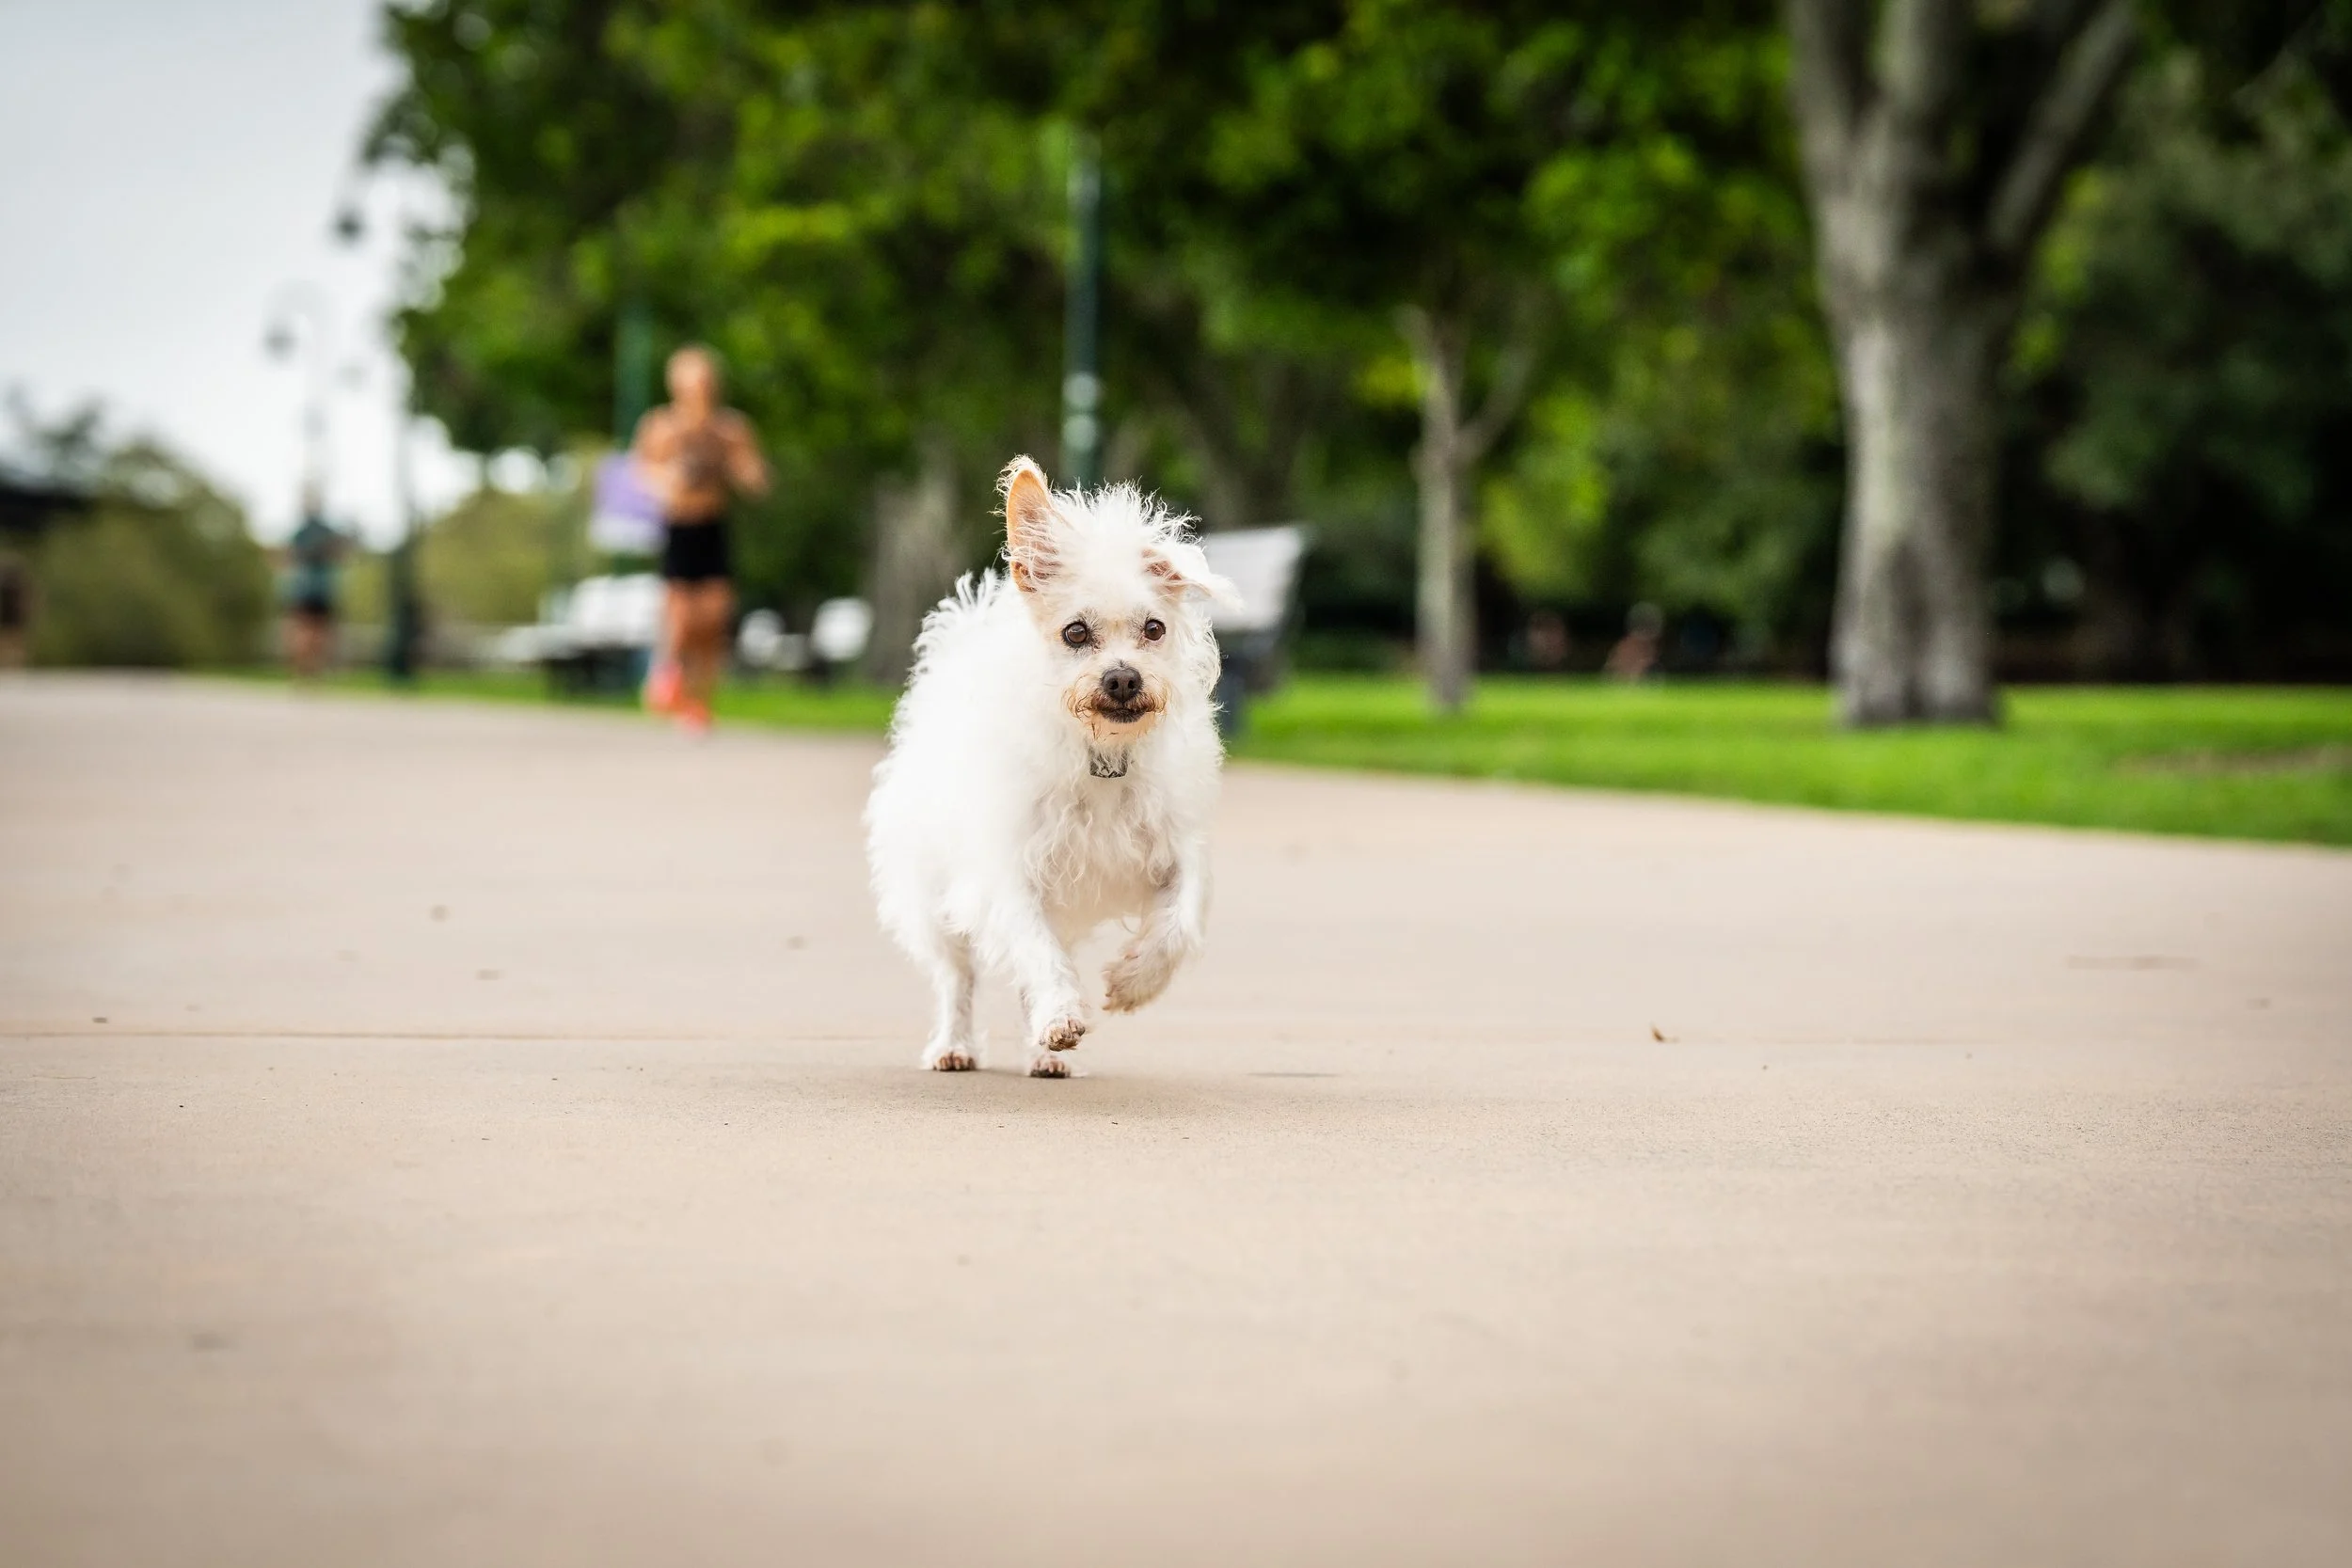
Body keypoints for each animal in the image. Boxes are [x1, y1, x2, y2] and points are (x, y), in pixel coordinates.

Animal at [865, 456, 1234, 1077]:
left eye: (1154, 629)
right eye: (1075, 632)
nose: (1123, 678)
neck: (1102, 756)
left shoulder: (1177, 850)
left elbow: (1179, 924)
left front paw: (1133, 983)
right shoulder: (1009, 875)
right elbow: (1036, 953)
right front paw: (1061, 1014)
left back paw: (1042, 1054)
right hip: (934, 893)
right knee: (957, 977)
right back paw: (955, 1045)